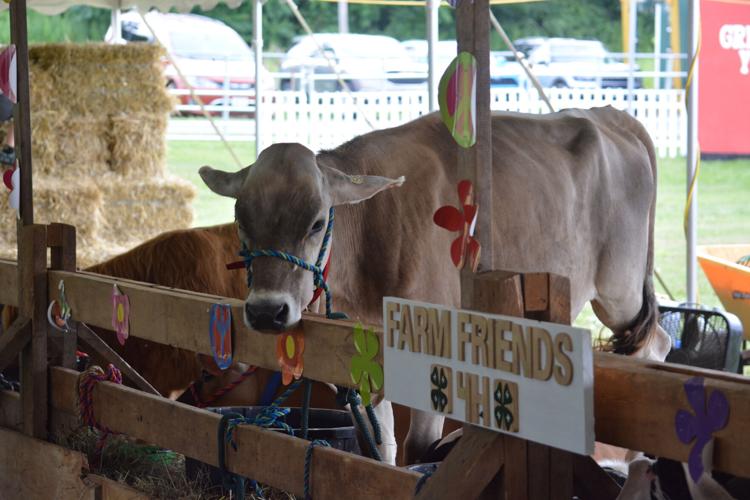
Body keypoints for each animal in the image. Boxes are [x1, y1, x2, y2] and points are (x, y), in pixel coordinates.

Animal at [199, 107, 671, 464]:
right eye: (241, 219)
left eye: (316, 222)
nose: (266, 309)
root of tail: (608, 115)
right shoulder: (360, 366)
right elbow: (380, 448)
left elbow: (420, 448)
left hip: (620, 290)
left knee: (655, 346)